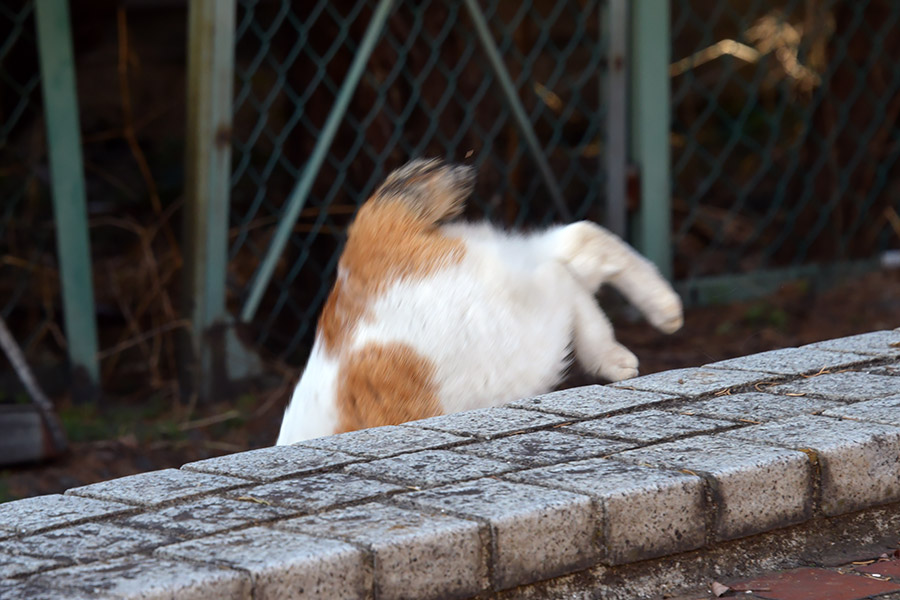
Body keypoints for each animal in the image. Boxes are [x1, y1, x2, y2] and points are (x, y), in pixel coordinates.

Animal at [276, 159, 684, 446]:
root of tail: (369, 244)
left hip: (515, 346)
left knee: (562, 275)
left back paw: (617, 348)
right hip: (502, 272)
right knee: (578, 244)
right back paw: (661, 311)